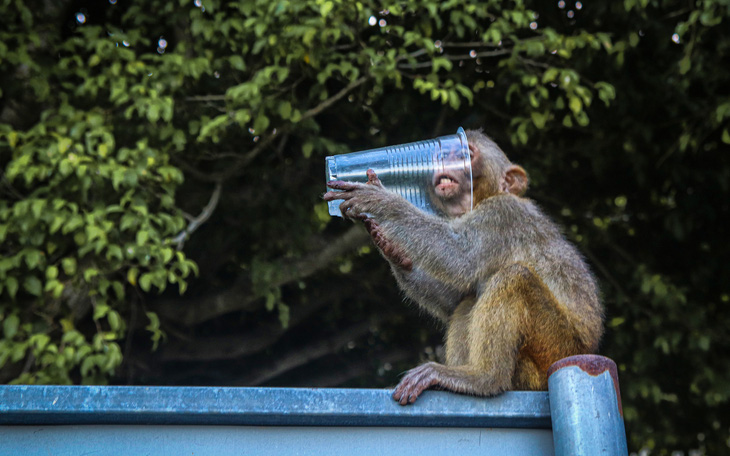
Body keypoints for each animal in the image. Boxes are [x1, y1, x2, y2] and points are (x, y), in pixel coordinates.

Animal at [324, 130, 604, 404]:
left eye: (466, 153)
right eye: (443, 153)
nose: (443, 158)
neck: (487, 197)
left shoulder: (501, 214)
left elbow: (460, 258)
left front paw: (380, 201)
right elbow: (453, 299)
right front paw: (396, 252)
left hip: (555, 348)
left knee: (514, 277)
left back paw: (484, 378)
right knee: (468, 300)